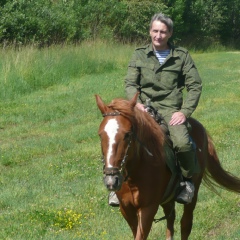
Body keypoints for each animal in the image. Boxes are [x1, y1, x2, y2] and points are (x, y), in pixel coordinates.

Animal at [95, 93, 240, 239]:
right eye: (100, 135)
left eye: (127, 134)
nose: (111, 180)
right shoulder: (126, 208)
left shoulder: (148, 208)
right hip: (167, 198)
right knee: (171, 218)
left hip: (193, 193)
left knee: (186, 223)